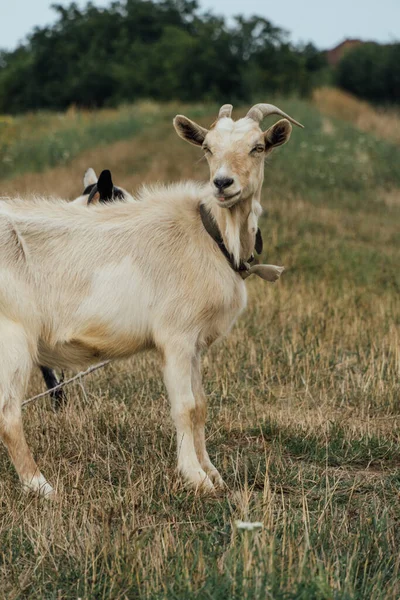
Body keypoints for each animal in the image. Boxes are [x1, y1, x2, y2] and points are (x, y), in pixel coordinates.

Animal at [0, 104, 302, 496]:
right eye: (207, 148)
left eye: (258, 147)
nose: (222, 184)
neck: (212, 235)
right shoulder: (175, 337)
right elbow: (184, 407)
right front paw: (195, 478)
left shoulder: (194, 344)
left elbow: (201, 406)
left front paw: (214, 474)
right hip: (13, 338)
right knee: (8, 413)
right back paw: (40, 486)